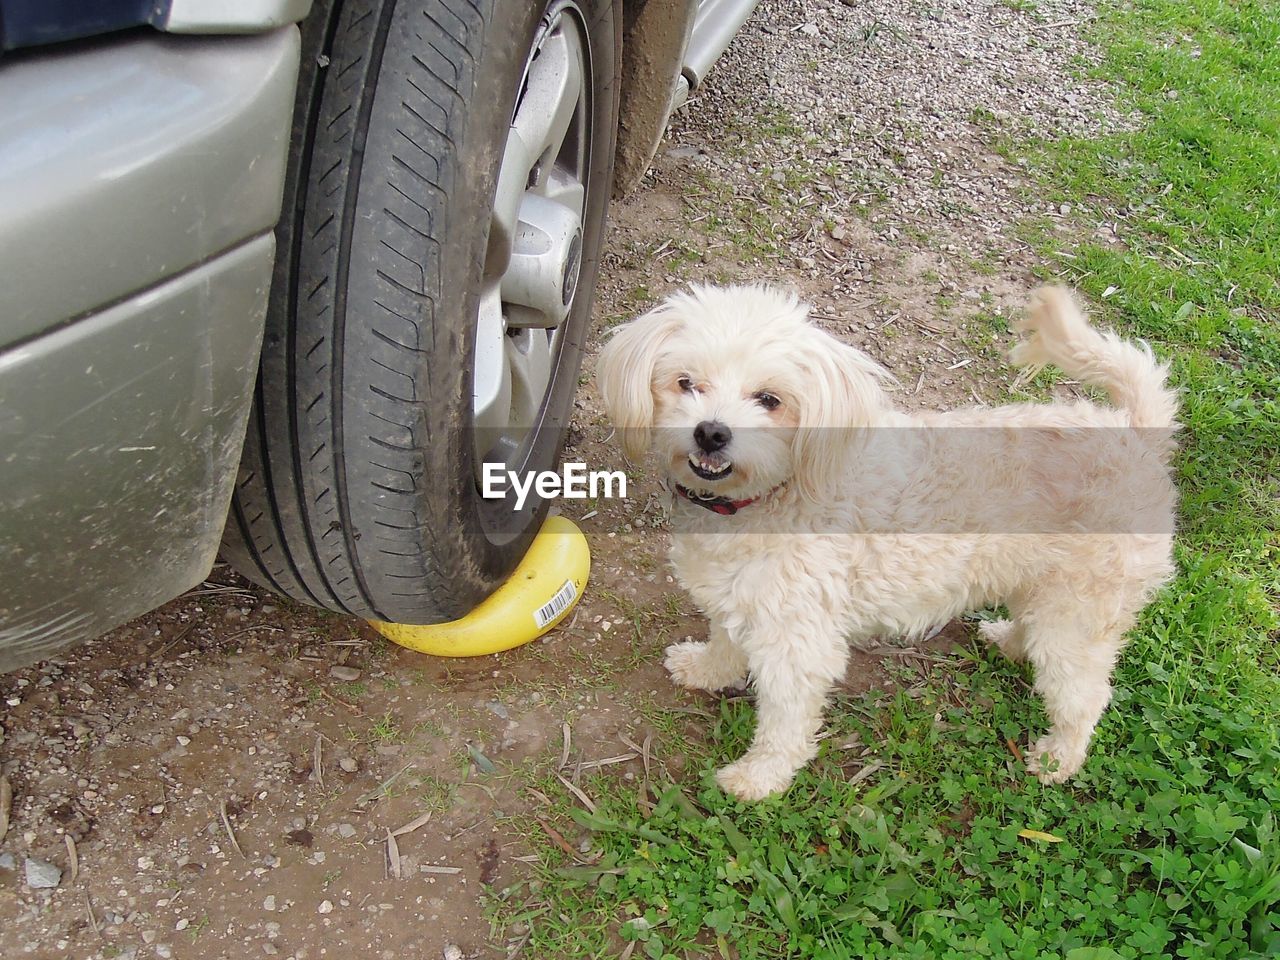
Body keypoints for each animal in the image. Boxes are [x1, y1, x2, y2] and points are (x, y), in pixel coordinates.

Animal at [599, 285, 1177, 803]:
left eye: (769, 399)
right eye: (686, 382)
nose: (711, 433)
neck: (771, 495)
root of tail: (1135, 432)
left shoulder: (798, 641)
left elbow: (785, 724)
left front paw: (758, 779)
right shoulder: (736, 598)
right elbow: (723, 641)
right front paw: (705, 670)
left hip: (1078, 612)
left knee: (1086, 694)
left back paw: (1058, 758)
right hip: (1042, 586)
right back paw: (1009, 640)